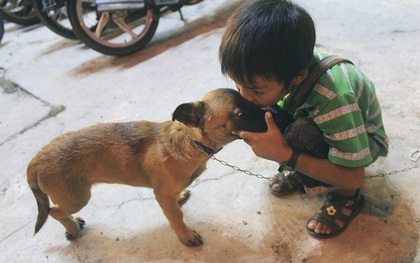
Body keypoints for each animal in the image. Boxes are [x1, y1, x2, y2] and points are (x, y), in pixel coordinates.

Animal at [27, 88, 282, 248]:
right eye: (239, 114)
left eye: (251, 102)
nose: (276, 116)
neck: (189, 141)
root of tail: (36, 160)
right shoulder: (162, 194)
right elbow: (176, 217)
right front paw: (185, 236)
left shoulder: (166, 193)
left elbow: (174, 206)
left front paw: (181, 198)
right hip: (78, 197)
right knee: (54, 211)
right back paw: (72, 227)